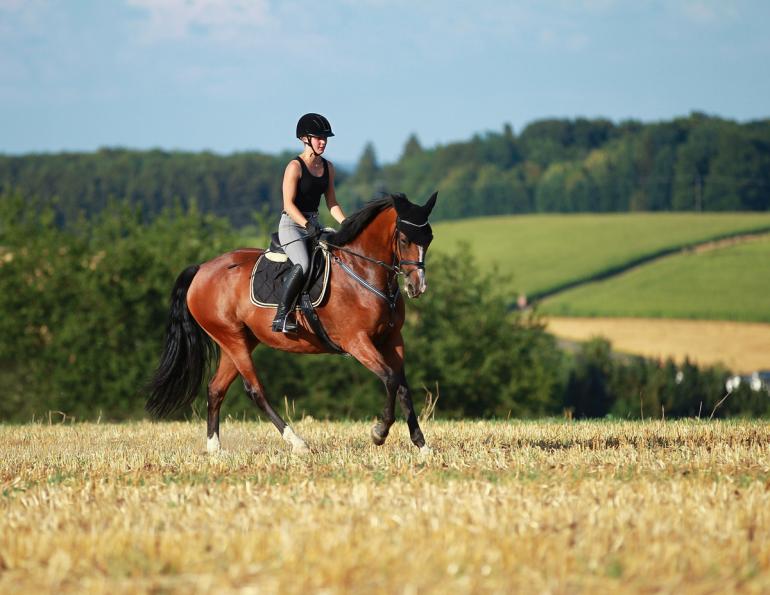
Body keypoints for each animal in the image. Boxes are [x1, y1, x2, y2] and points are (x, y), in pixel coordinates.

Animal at [146, 192, 438, 455]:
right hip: (231, 337)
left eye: (429, 239)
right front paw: (379, 433)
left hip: (239, 340)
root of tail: (202, 269)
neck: (362, 271)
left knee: (216, 389)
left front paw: (422, 445)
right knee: (255, 390)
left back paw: (215, 448)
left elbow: (401, 385)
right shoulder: (356, 341)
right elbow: (389, 378)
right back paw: (298, 443)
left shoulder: (392, 339)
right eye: (404, 239)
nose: (418, 287)